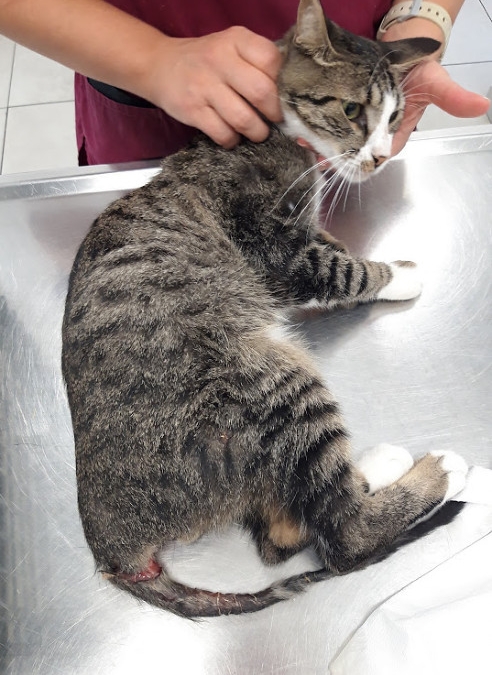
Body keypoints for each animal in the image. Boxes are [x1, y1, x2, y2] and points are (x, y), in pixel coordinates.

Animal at [63, 0, 468, 616]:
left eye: (394, 118)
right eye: (352, 110)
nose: (378, 157)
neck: (282, 135)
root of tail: (115, 549)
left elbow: (335, 248)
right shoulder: (274, 247)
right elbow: (343, 269)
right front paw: (398, 275)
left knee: (283, 534)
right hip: (267, 381)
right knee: (341, 534)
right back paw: (433, 469)